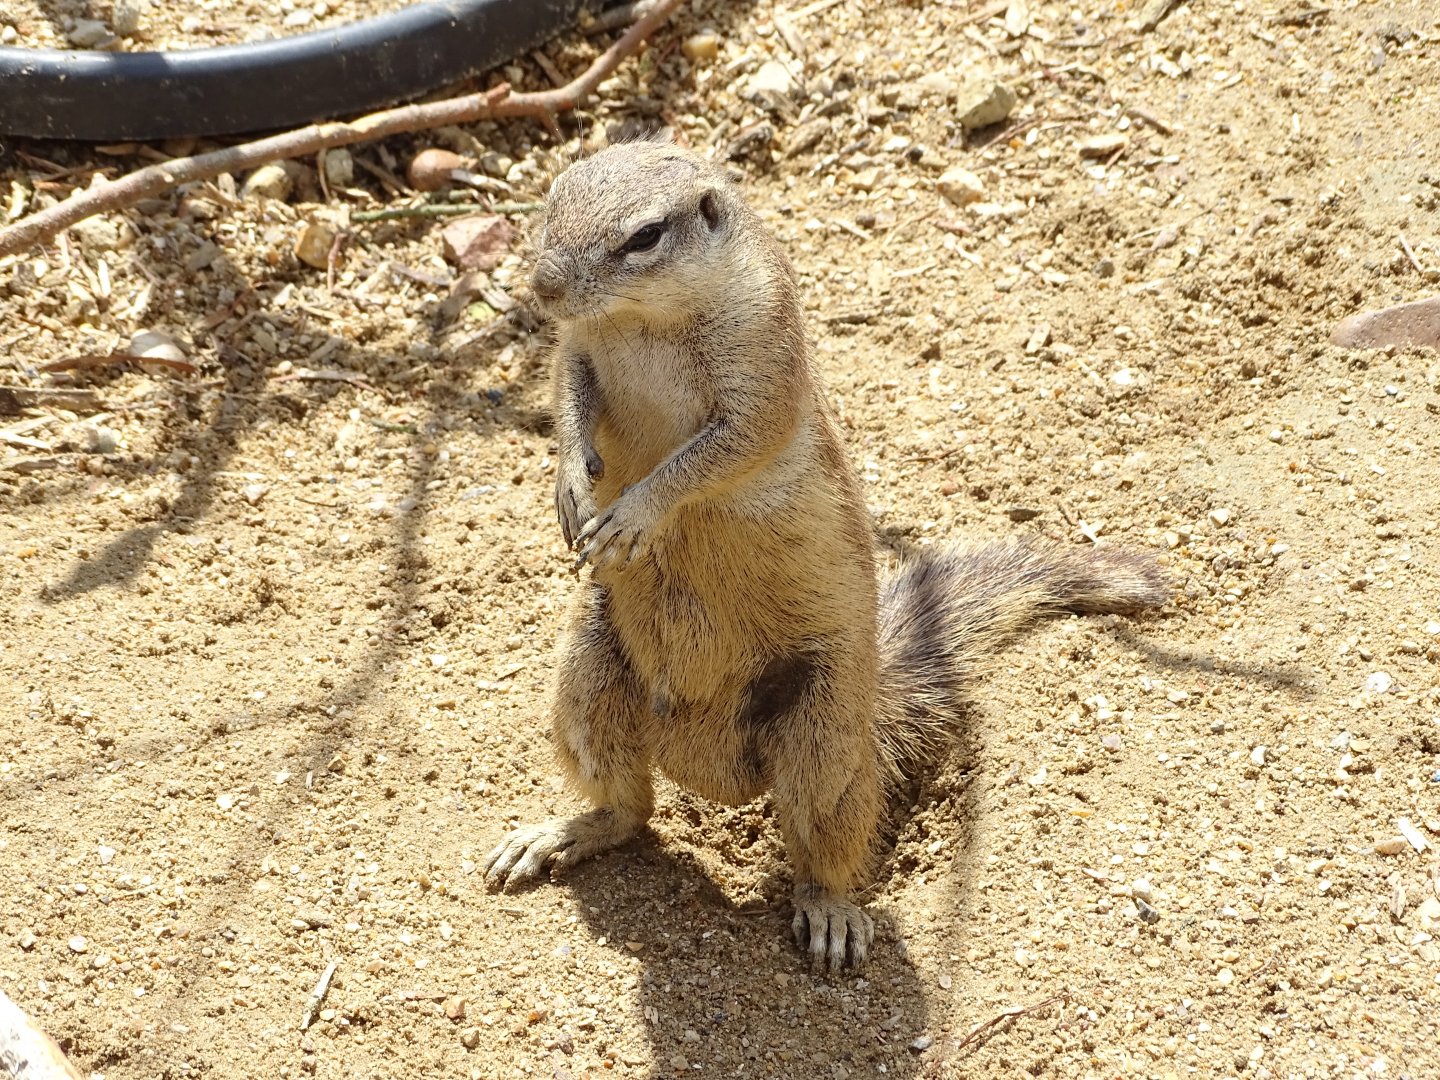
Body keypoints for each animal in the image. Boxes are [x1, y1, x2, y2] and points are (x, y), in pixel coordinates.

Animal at [484, 138, 1169, 972]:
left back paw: (832, 911)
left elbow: (719, 451)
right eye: (550, 202)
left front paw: (634, 514)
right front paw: (569, 484)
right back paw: (558, 835)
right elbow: (568, 395)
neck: (643, 321)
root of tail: (707, 763)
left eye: (644, 237)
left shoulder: (764, 363)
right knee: (631, 810)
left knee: (823, 846)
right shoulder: (578, 347)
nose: (543, 286)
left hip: (825, 735)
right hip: (588, 669)